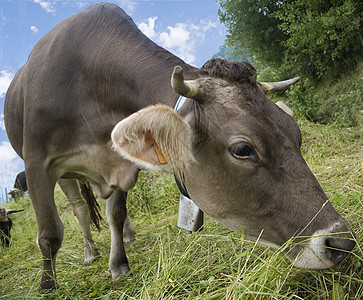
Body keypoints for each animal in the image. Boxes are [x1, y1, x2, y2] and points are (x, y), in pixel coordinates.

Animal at [3, 2, 356, 288]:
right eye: (242, 150)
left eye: (296, 133)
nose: (341, 242)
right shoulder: (37, 163)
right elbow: (50, 233)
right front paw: (47, 285)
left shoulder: (123, 159)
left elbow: (116, 213)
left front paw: (119, 264)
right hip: (64, 175)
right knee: (78, 209)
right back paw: (90, 252)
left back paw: (127, 236)